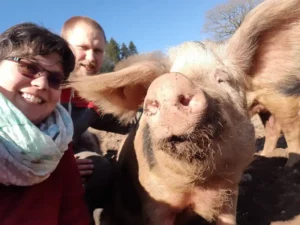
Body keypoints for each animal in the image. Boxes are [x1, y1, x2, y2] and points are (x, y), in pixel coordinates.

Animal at [68, 0, 300, 223]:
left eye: (222, 79)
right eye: (156, 82)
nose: (168, 83)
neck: (198, 186)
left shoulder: (229, 196)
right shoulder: (155, 204)